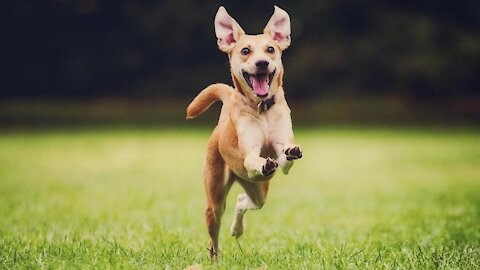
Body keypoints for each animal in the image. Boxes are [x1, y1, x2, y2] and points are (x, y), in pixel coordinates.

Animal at [186, 5, 302, 260]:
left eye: (271, 49)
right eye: (246, 51)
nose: (262, 63)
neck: (262, 109)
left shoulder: (281, 150)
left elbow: (285, 157)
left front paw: (289, 152)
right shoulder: (249, 154)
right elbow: (252, 159)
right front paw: (263, 162)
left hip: (258, 190)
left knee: (244, 201)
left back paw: (237, 229)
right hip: (215, 197)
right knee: (214, 235)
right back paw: (216, 259)